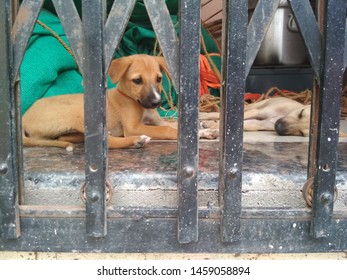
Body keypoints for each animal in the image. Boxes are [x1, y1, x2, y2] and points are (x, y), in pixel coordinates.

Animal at [22, 53, 184, 150]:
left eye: (159, 79)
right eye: (137, 80)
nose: (157, 103)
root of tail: (23, 117)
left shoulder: (157, 121)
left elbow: (172, 125)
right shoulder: (132, 127)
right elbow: (165, 129)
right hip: (80, 111)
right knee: (107, 142)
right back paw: (137, 141)